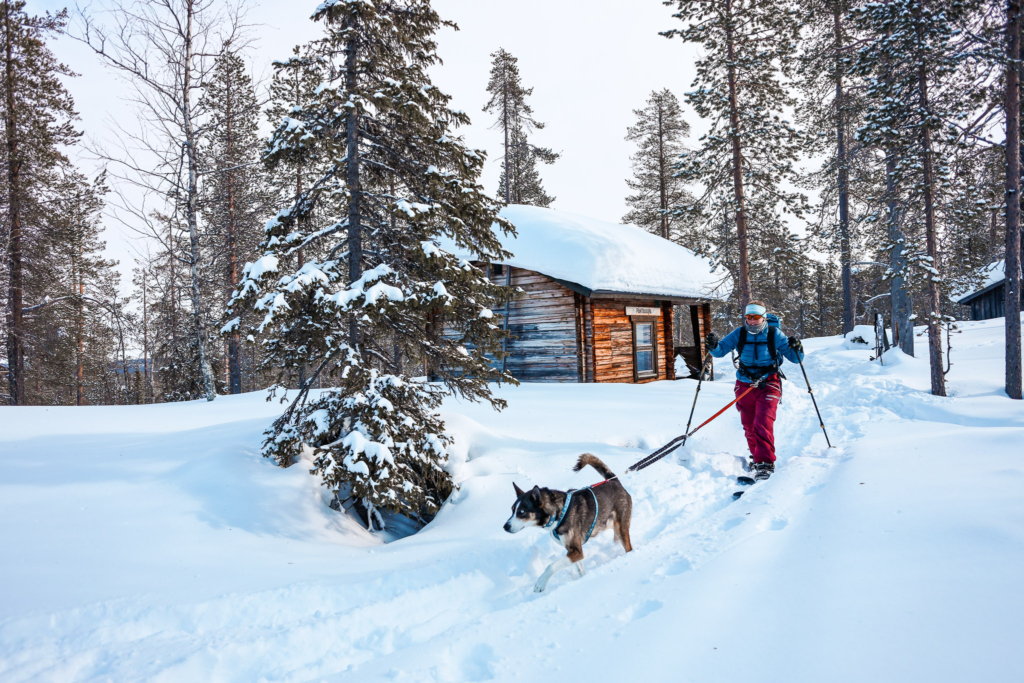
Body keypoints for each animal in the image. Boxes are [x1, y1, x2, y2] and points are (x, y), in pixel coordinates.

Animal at [503, 454, 630, 593]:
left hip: (621, 529)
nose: (505, 527)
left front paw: (540, 583)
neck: (558, 513)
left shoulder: (576, 551)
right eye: (512, 510)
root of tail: (614, 481)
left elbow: (551, 566)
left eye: (521, 512)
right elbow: (580, 569)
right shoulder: (573, 550)